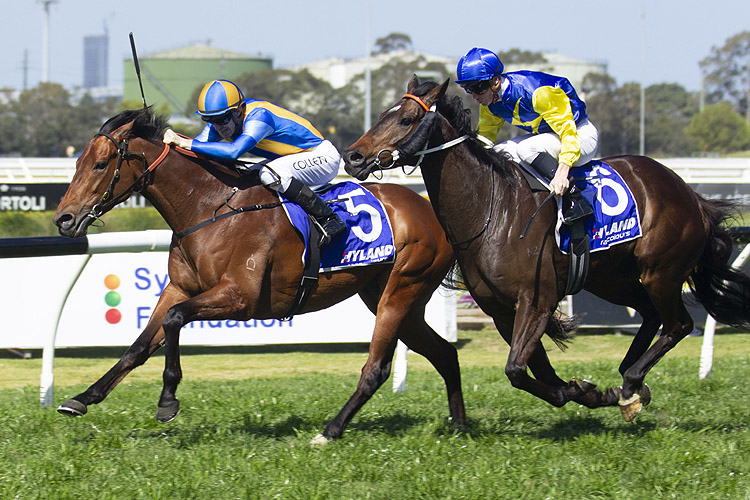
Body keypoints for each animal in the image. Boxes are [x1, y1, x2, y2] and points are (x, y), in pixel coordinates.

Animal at [53, 107, 464, 444]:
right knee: (444, 353)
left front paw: (167, 400)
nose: (63, 219)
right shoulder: (179, 287)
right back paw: (459, 427)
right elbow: (140, 345)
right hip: (390, 297)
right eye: (78, 162)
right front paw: (82, 398)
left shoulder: (241, 296)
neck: (209, 208)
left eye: (101, 164)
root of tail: (431, 210)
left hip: (401, 289)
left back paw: (330, 431)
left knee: (377, 368)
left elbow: (174, 319)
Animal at [344, 77, 750, 422]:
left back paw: (632, 381)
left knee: (679, 323)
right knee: (651, 315)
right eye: (381, 115)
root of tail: (692, 196)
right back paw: (627, 381)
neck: (492, 208)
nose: (353, 157)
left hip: (660, 272)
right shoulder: (501, 308)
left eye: (406, 119)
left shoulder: (537, 299)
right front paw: (587, 391)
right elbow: (537, 370)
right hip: (612, 279)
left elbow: (516, 369)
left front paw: (584, 391)